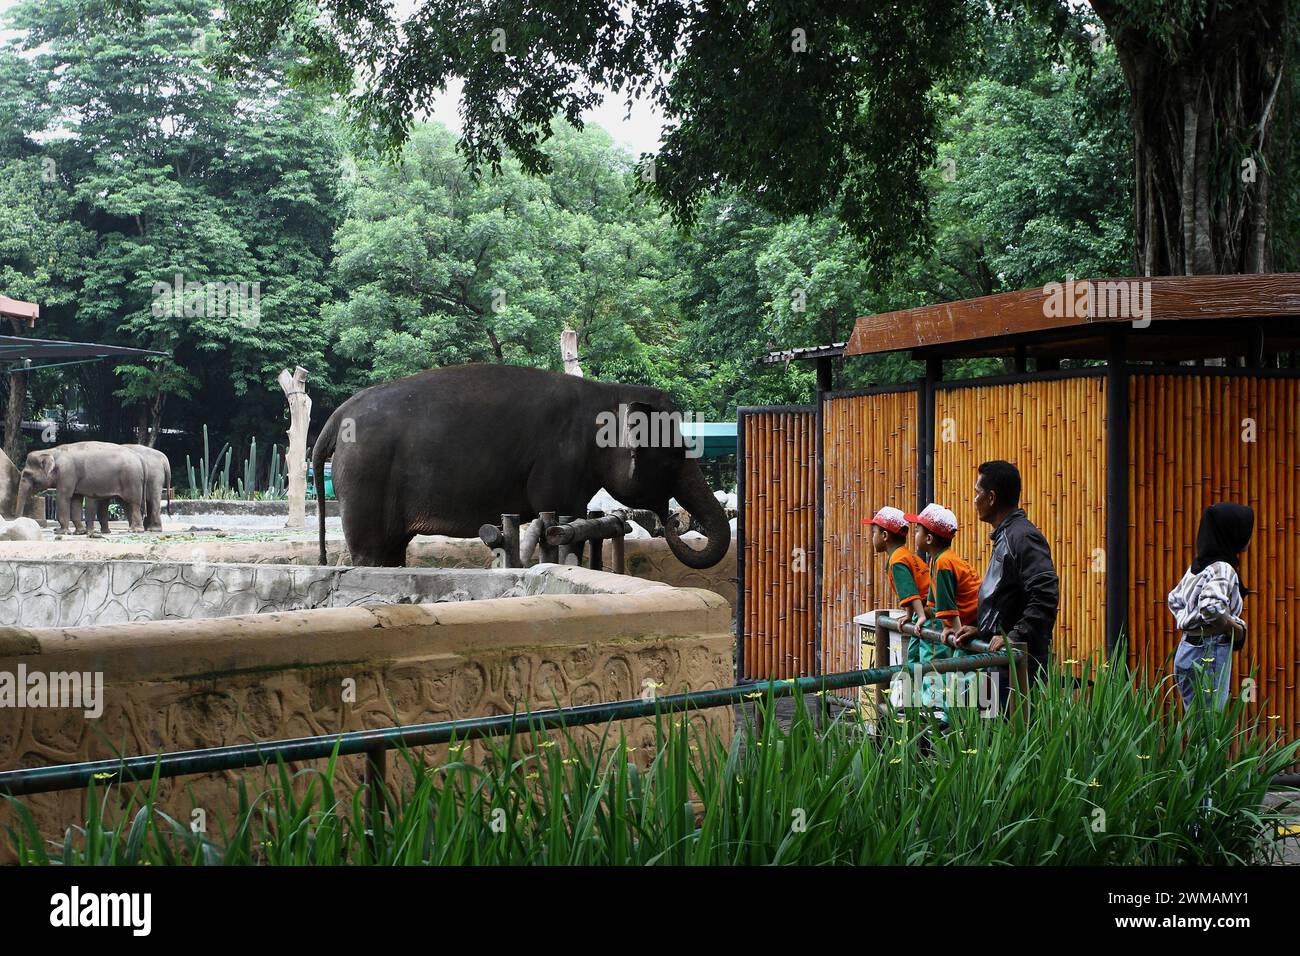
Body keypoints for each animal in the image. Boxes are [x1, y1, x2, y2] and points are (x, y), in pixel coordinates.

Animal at [17, 442, 147, 535]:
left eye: (27, 474)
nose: (17, 519)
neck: (52, 451)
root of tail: (140, 457)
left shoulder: (67, 473)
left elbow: (63, 496)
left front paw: (61, 532)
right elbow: (76, 500)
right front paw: (79, 532)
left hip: (132, 479)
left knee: (134, 503)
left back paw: (136, 530)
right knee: (125, 503)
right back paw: (126, 529)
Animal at [308, 361, 728, 564]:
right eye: (674, 458)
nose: (671, 521)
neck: (608, 393)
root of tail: (336, 416)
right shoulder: (560, 462)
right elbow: (559, 519)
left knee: (391, 550)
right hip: (366, 474)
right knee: (373, 551)